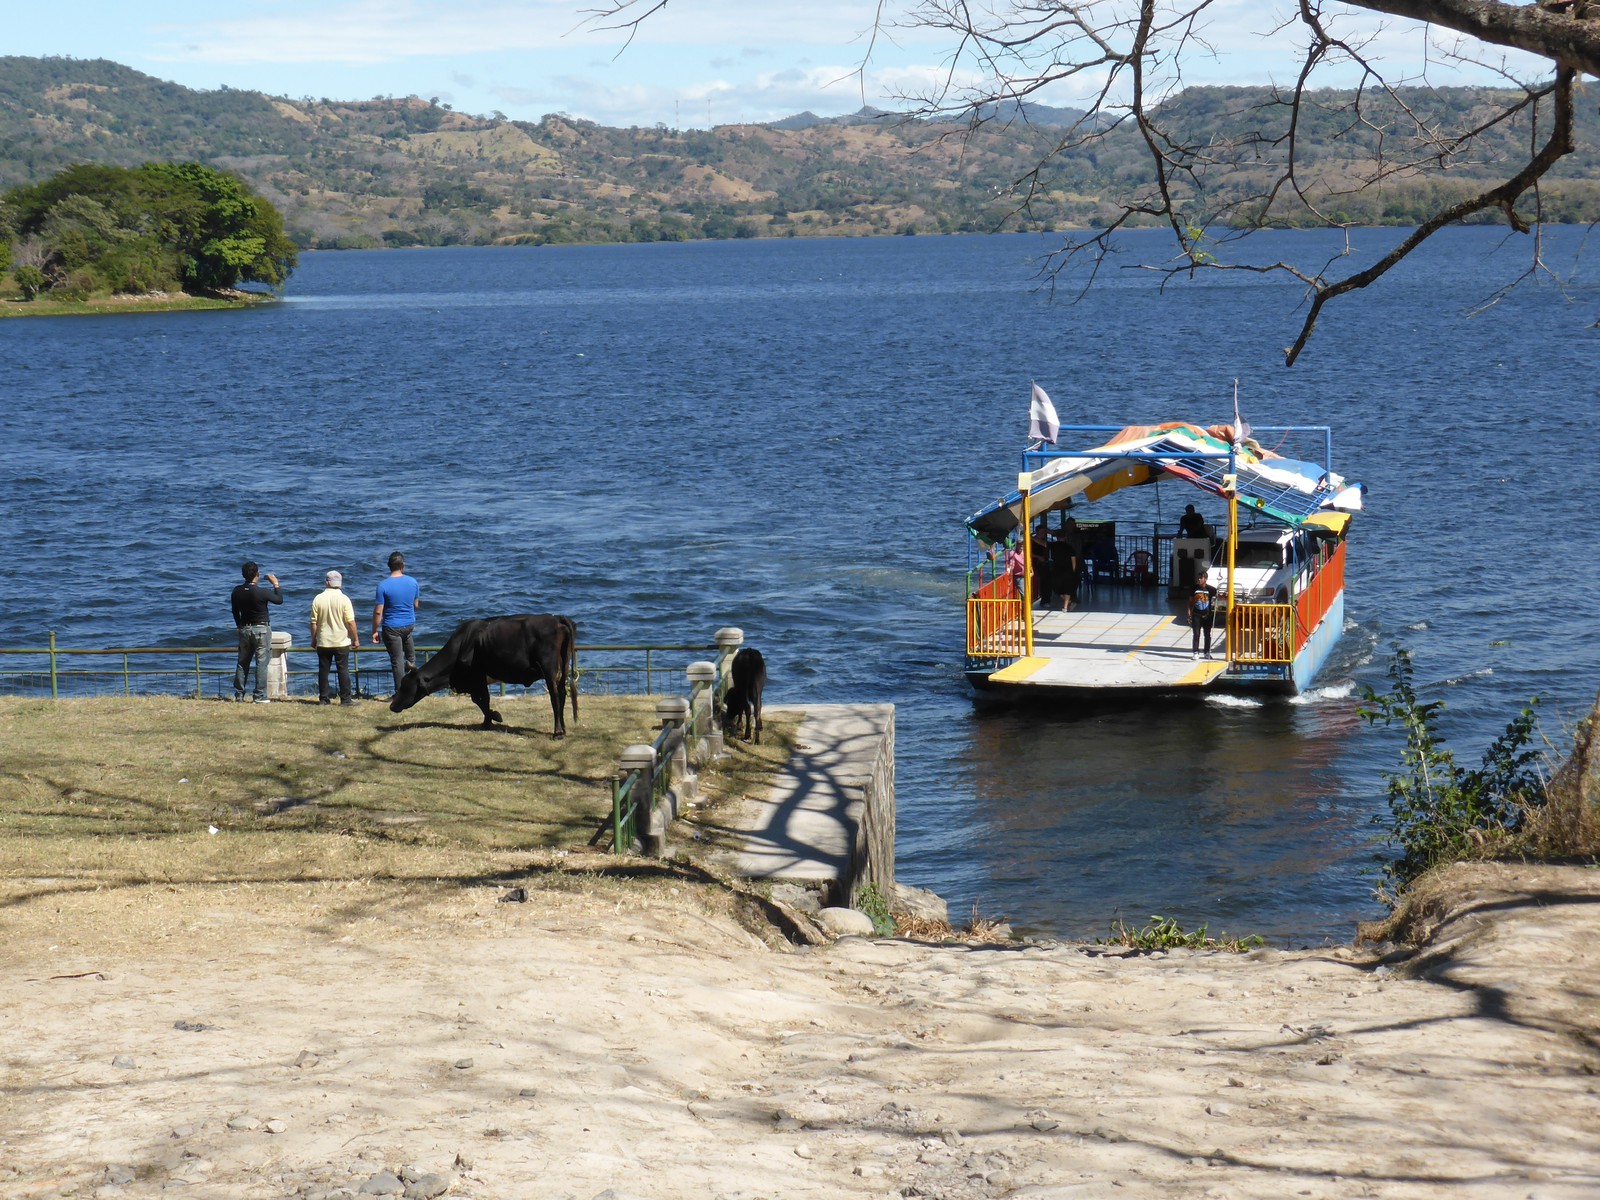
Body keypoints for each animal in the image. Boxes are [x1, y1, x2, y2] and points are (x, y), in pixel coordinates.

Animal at [390, 614, 579, 739]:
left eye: (406, 686)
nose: (391, 705)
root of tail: (556, 619)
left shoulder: (476, 677)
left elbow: (481, 700)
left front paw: (492, 718)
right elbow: (481, 701)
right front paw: (489, 720)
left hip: (549, 668)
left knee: (555, 697)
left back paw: (557, 732)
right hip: (562, 667)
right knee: (563, 694)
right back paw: (564, 729)